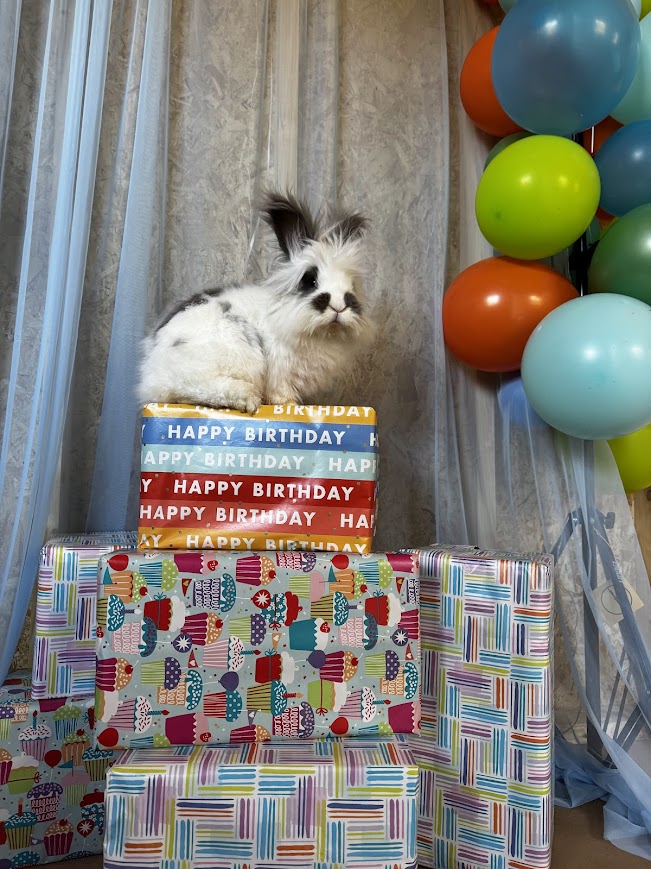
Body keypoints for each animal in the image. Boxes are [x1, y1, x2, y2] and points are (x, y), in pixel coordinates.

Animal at [137, 191, 374, 413]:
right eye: (311, 281)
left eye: (352, 285)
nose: (339, 306)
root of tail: (152, 368)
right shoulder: (281, 369)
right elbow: (281, 393)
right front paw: (291, 406)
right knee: (186, 388)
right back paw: (246, 398)